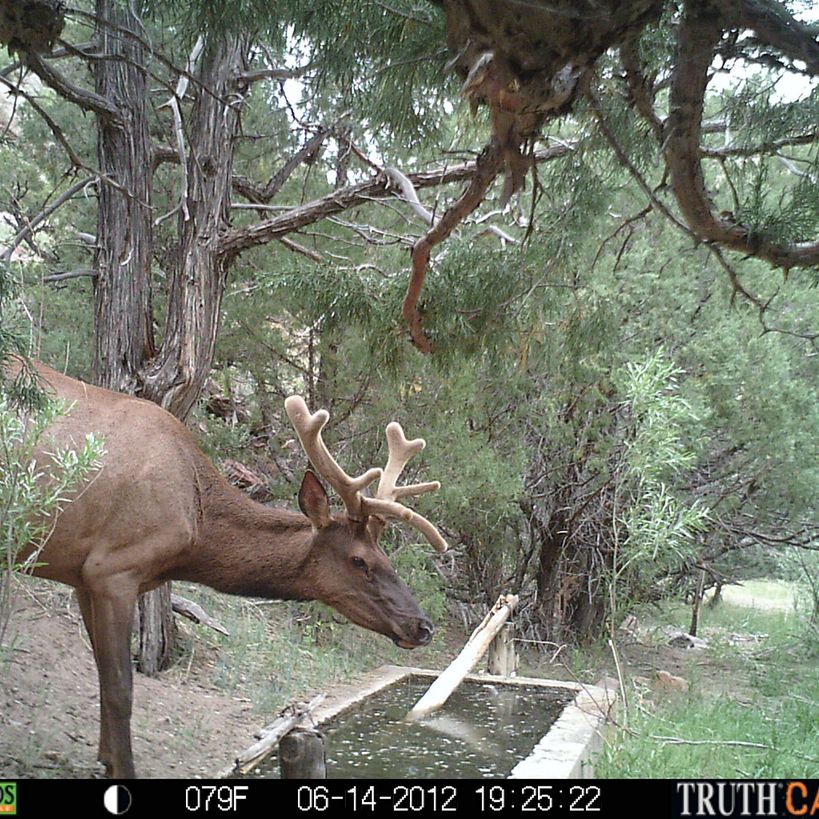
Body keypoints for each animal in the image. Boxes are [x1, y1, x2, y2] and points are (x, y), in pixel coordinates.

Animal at [7, 358, 447, 778]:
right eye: (360, 560)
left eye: (386, 558)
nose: (422, 626)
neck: (194, 530)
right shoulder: (112, 569)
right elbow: (120, 687)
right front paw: (123, 768)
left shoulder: (83, 577)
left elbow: (100, 672)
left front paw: (105, 758)